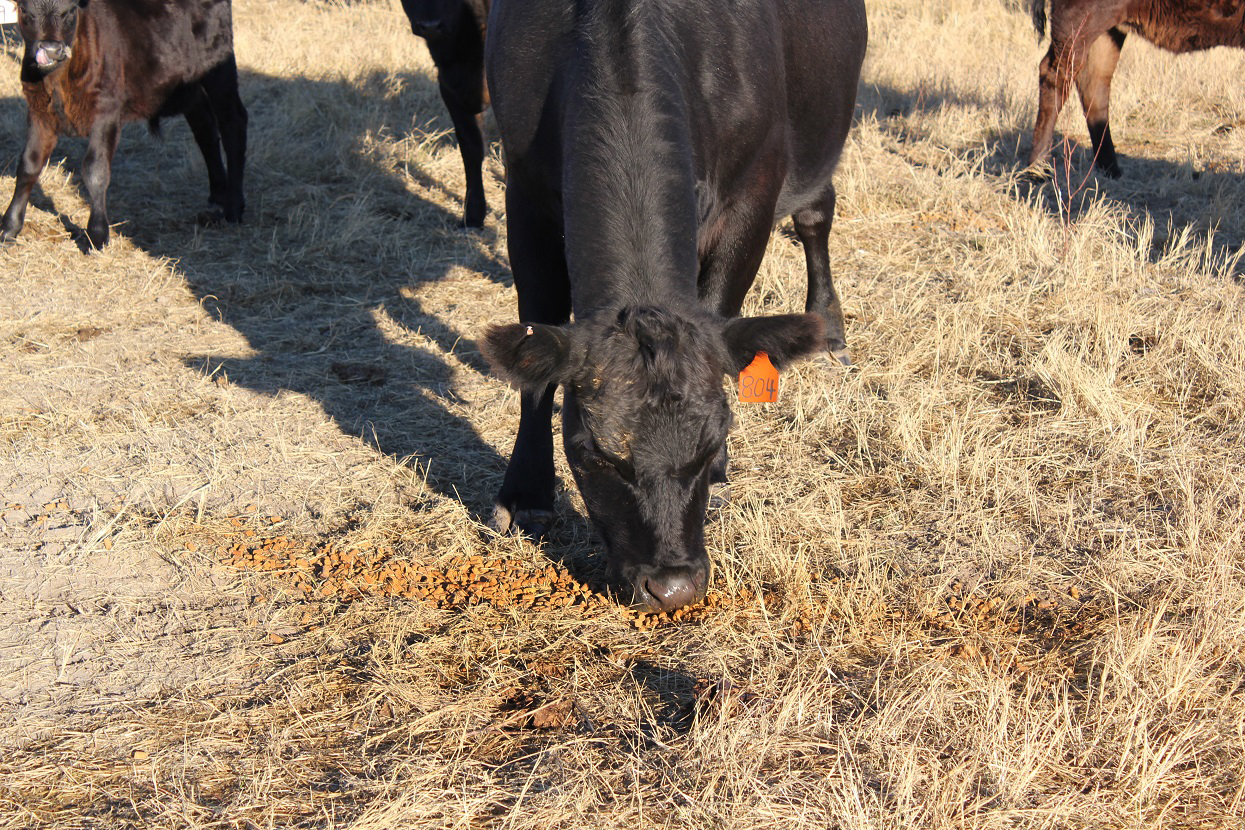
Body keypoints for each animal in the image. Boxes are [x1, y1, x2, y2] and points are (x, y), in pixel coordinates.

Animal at [478, 0, 866, 609]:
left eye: (713, 443)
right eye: (595, 454)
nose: (673, 586)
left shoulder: (753, 191)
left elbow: (722, 306)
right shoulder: (525, 190)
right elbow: (535, 354)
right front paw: (525, 492)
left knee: (815, 213)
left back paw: (828, 327)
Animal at [1025, 0, 1240, 176]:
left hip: (1107, 31)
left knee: (1094, 84)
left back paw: (1111, 168)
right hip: (1078, 26)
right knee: (1055, 76)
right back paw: (1038, 168)